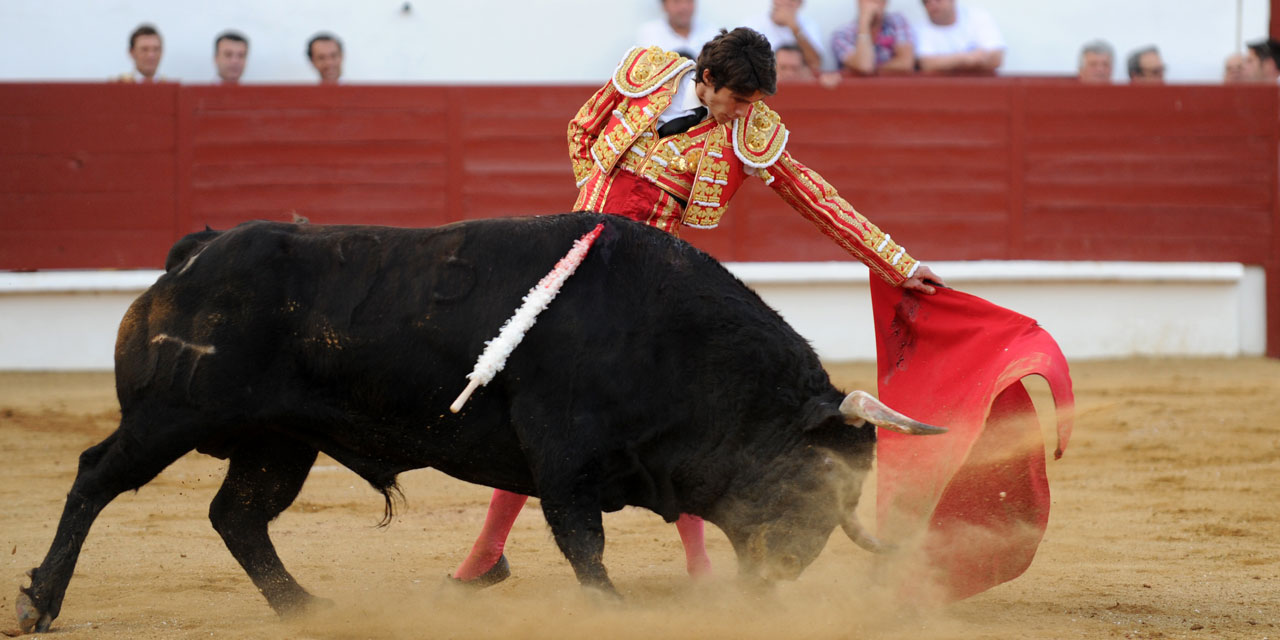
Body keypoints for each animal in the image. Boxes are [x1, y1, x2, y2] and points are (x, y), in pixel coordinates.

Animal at [15, 212, 947, 632]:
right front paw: (613, 610)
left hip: (280, 443)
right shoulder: (566, 454)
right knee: (97, 477)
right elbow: (581, 539)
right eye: (817, 481)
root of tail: (195, 254)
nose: (779, 580)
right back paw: (39, 602)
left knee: (237, 514)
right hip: (168, 418)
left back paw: (307, 607)